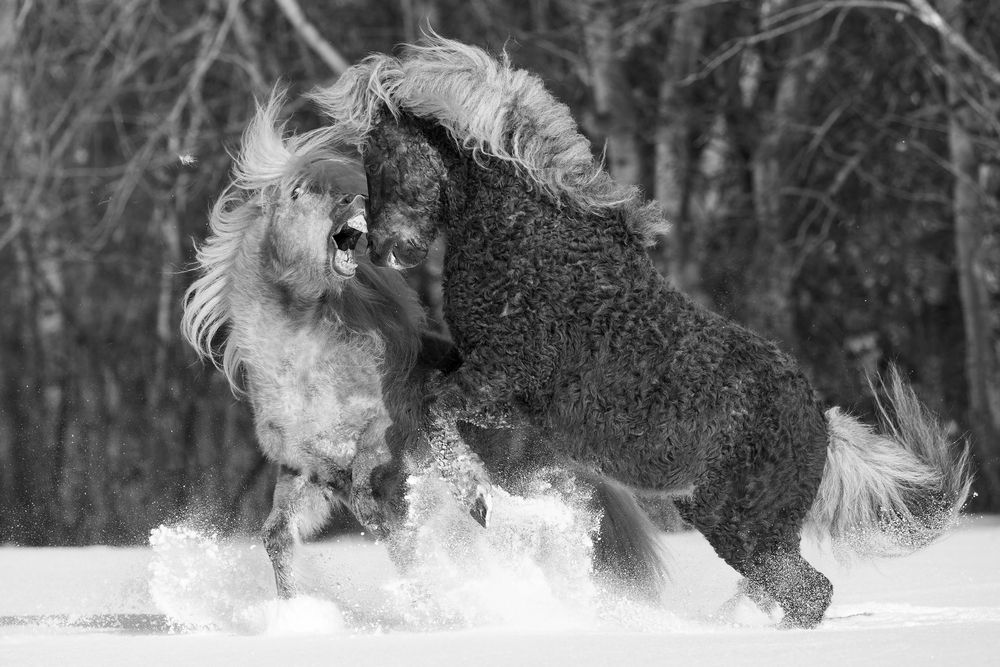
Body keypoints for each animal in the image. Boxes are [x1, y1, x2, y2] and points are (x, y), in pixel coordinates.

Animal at [181, 90, 671, 601]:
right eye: (296, 195)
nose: (352, 200)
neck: (303, 369)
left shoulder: (383, 439)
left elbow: (377, 504)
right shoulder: (305, 471)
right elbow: (276, 535)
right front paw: (295, 605)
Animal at [312, 37, 972, 627]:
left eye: (384, 157)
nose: (381, 247)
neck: (531, 248)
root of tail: (823, 425)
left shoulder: (497, 382)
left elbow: (438, 414)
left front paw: (476, 498)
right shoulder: (503, 401)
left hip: (737, 523)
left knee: (808, 594)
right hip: (754, 527)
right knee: (796, 591)